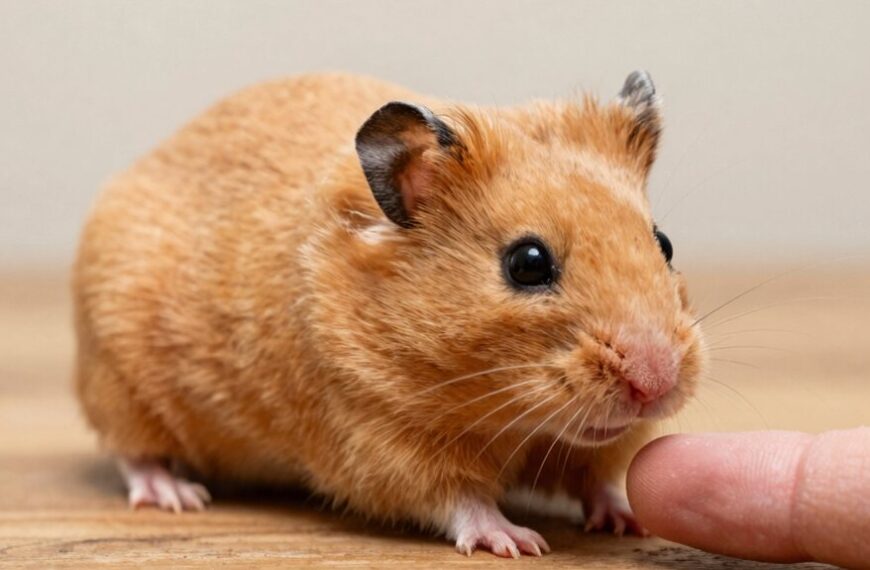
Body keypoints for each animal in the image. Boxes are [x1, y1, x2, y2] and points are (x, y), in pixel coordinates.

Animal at [73, 71, 705, 558]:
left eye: (665, 243)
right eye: (527, 263)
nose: (656, 383)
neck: (513, 419)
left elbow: (598, 479)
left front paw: (629, 519)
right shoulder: (379, 438)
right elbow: (458, 499)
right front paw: (518, 541)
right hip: (121, 383)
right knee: (132, 453)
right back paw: (178, 497)